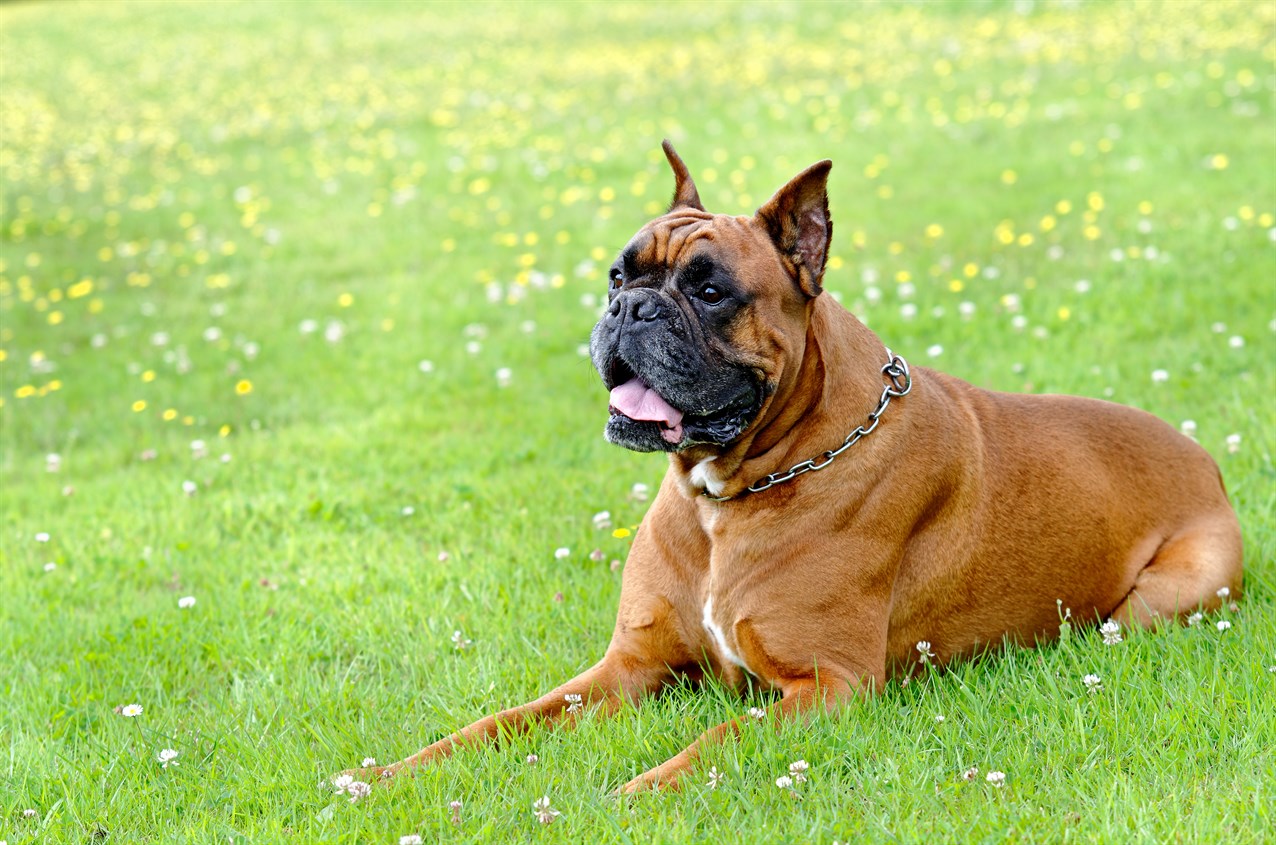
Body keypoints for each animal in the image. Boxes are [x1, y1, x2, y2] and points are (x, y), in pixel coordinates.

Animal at [347, 142, 1235, 796]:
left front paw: (636, 790)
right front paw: (395, 772)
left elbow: (715, 738)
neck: (731, 490)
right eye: (617, 274)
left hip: (1159, 600)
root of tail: (1202, 453)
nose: (630, 308)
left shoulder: (826, 685)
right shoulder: (626, 667)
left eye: (709, 291)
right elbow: (503, 720)